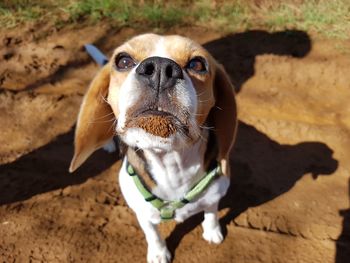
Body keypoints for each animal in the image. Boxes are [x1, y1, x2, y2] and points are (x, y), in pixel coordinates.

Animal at [68, 34, 238, 262]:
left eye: (197, 64)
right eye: (123, 61)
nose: (160, 68)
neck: (171, 164)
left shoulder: (215, 192)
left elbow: (211, 211)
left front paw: (213, 231)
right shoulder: (142, 212)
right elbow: (153, 234)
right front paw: (159, 253)